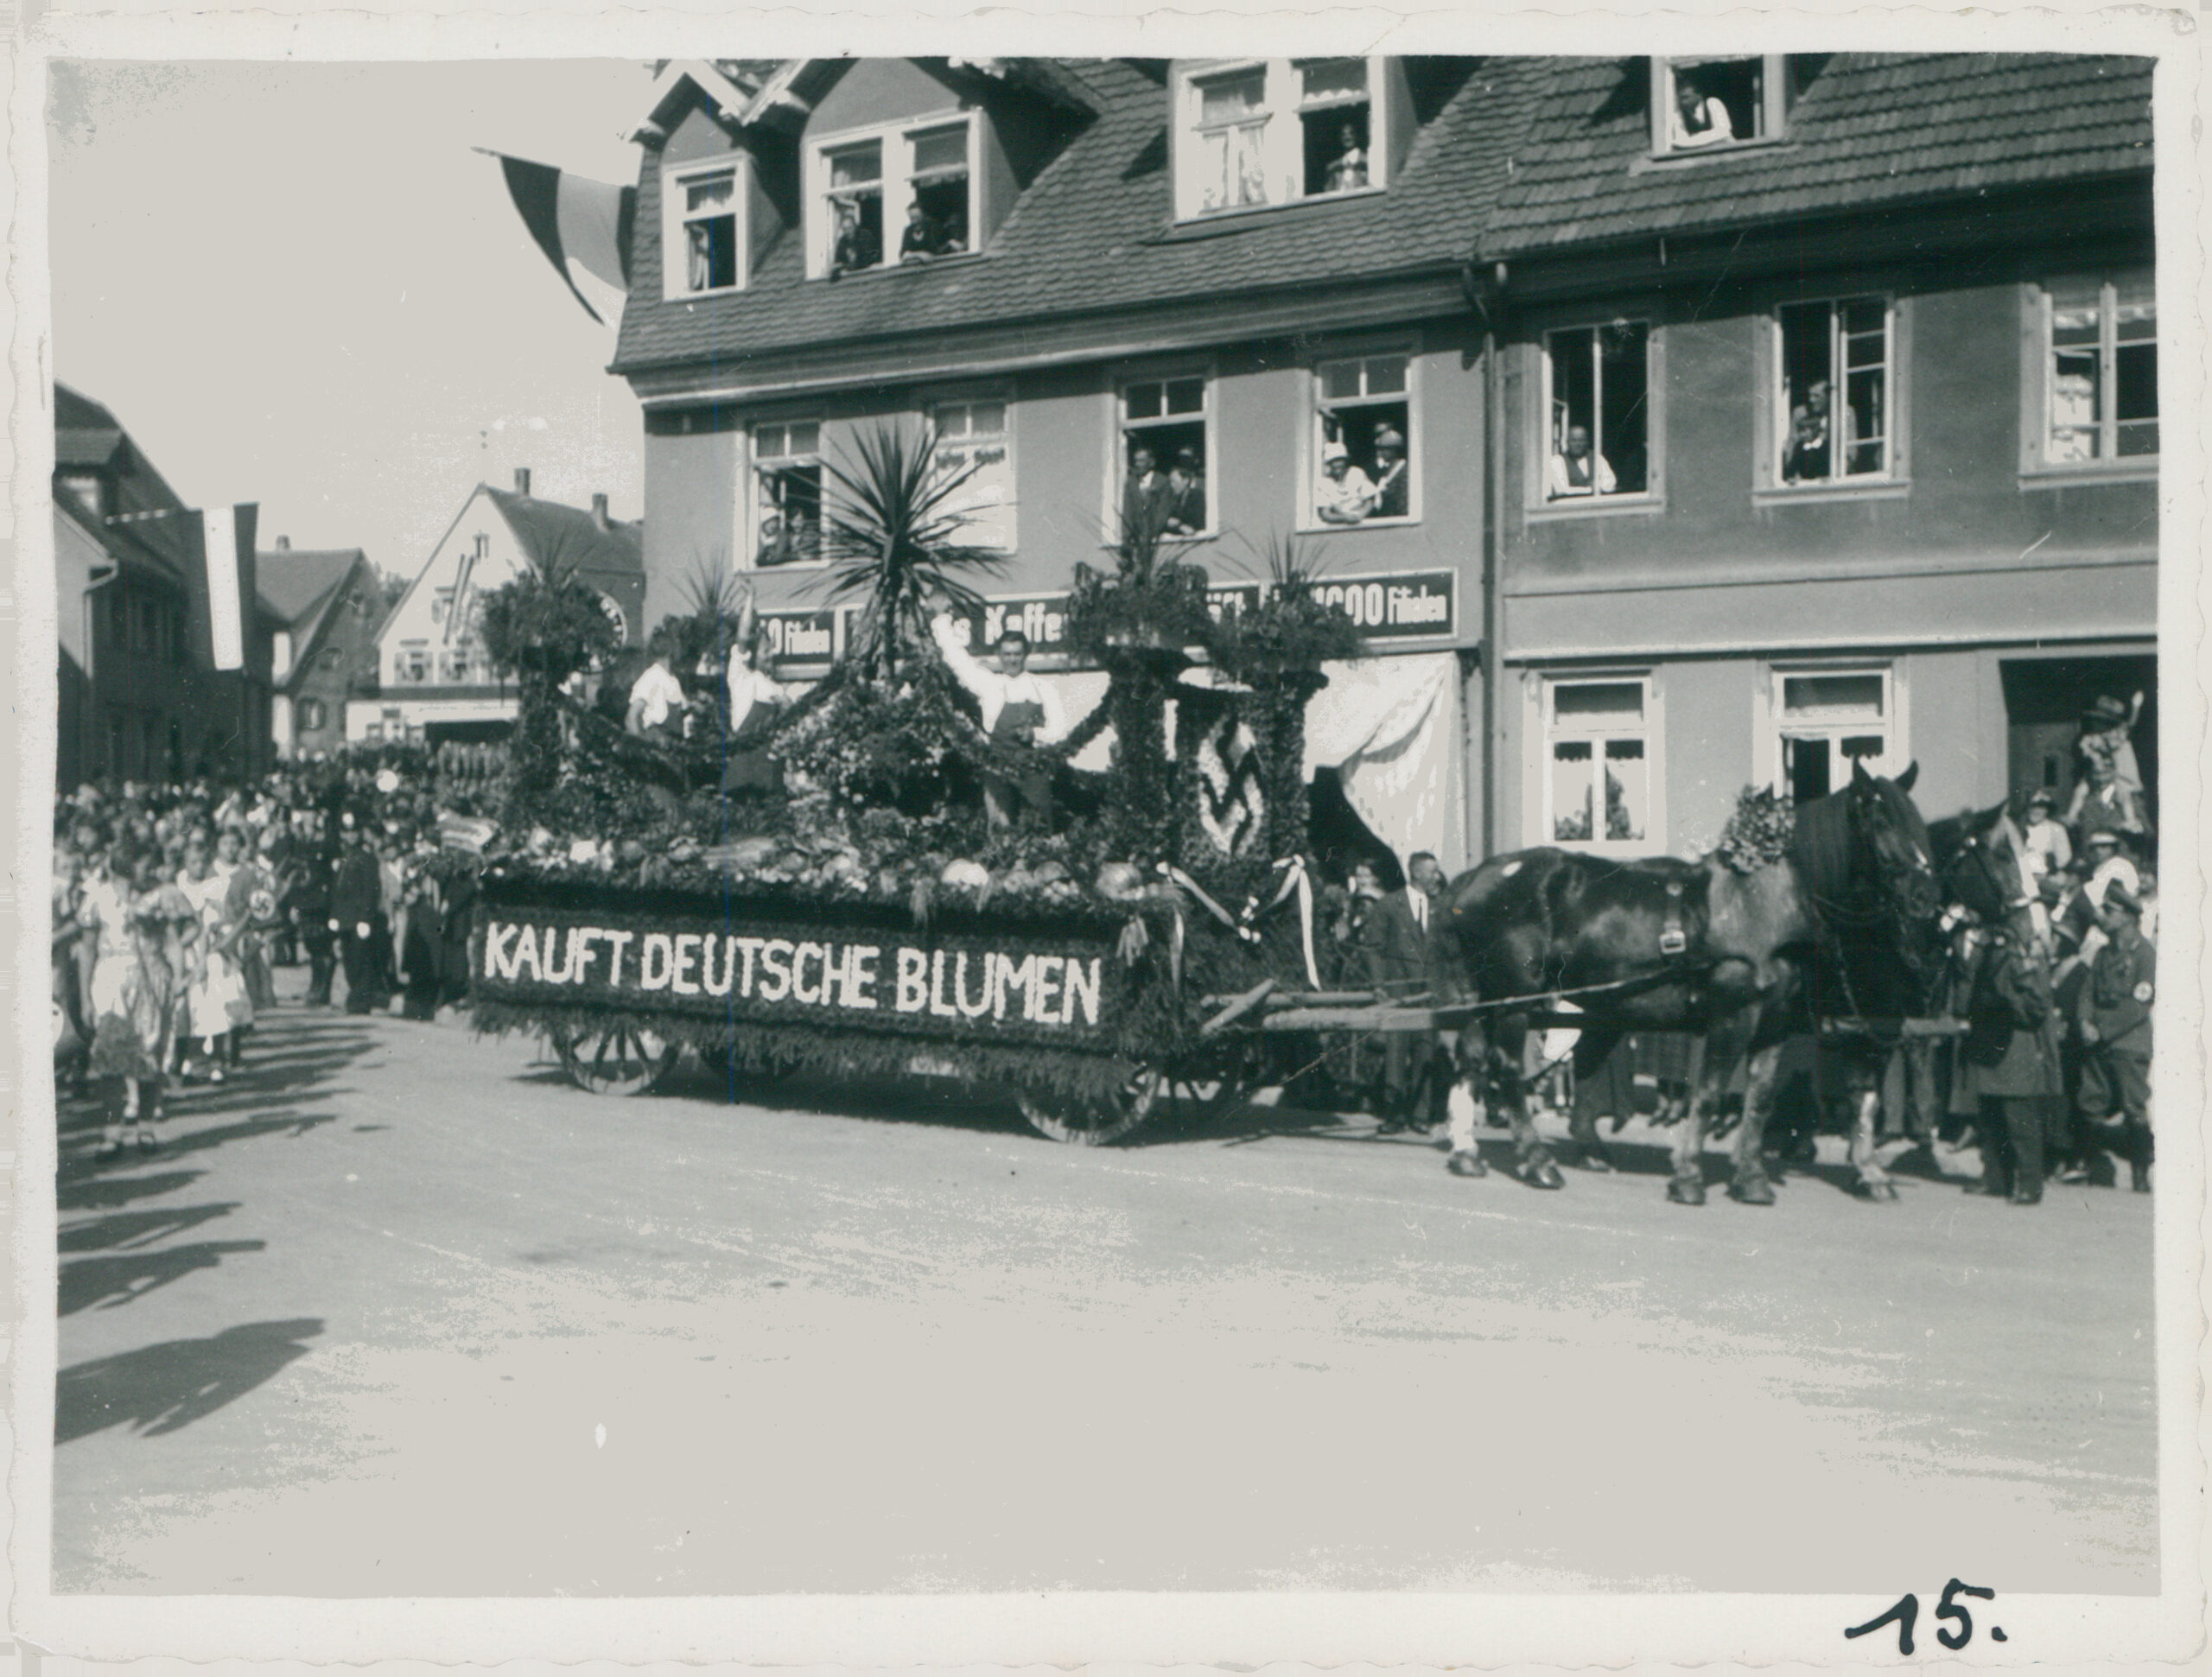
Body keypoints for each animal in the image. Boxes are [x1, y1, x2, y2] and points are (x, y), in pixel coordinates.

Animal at [1436, 762, 1941, 1205]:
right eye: (1879, 819)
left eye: (1917, 822)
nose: (1924, 897)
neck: (1763, 904)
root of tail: (1472, 879)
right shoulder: (1735, 1016)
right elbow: (1711, 1092)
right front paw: (1689, 1178)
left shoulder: (1777, 1023)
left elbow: (1760, 1098)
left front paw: (1752, 1179)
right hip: (1515, 999)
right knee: (1505, 1068)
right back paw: (1538, 1161)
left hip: (1485, 998)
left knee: (1472, 1058)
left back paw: (1468, 1152)